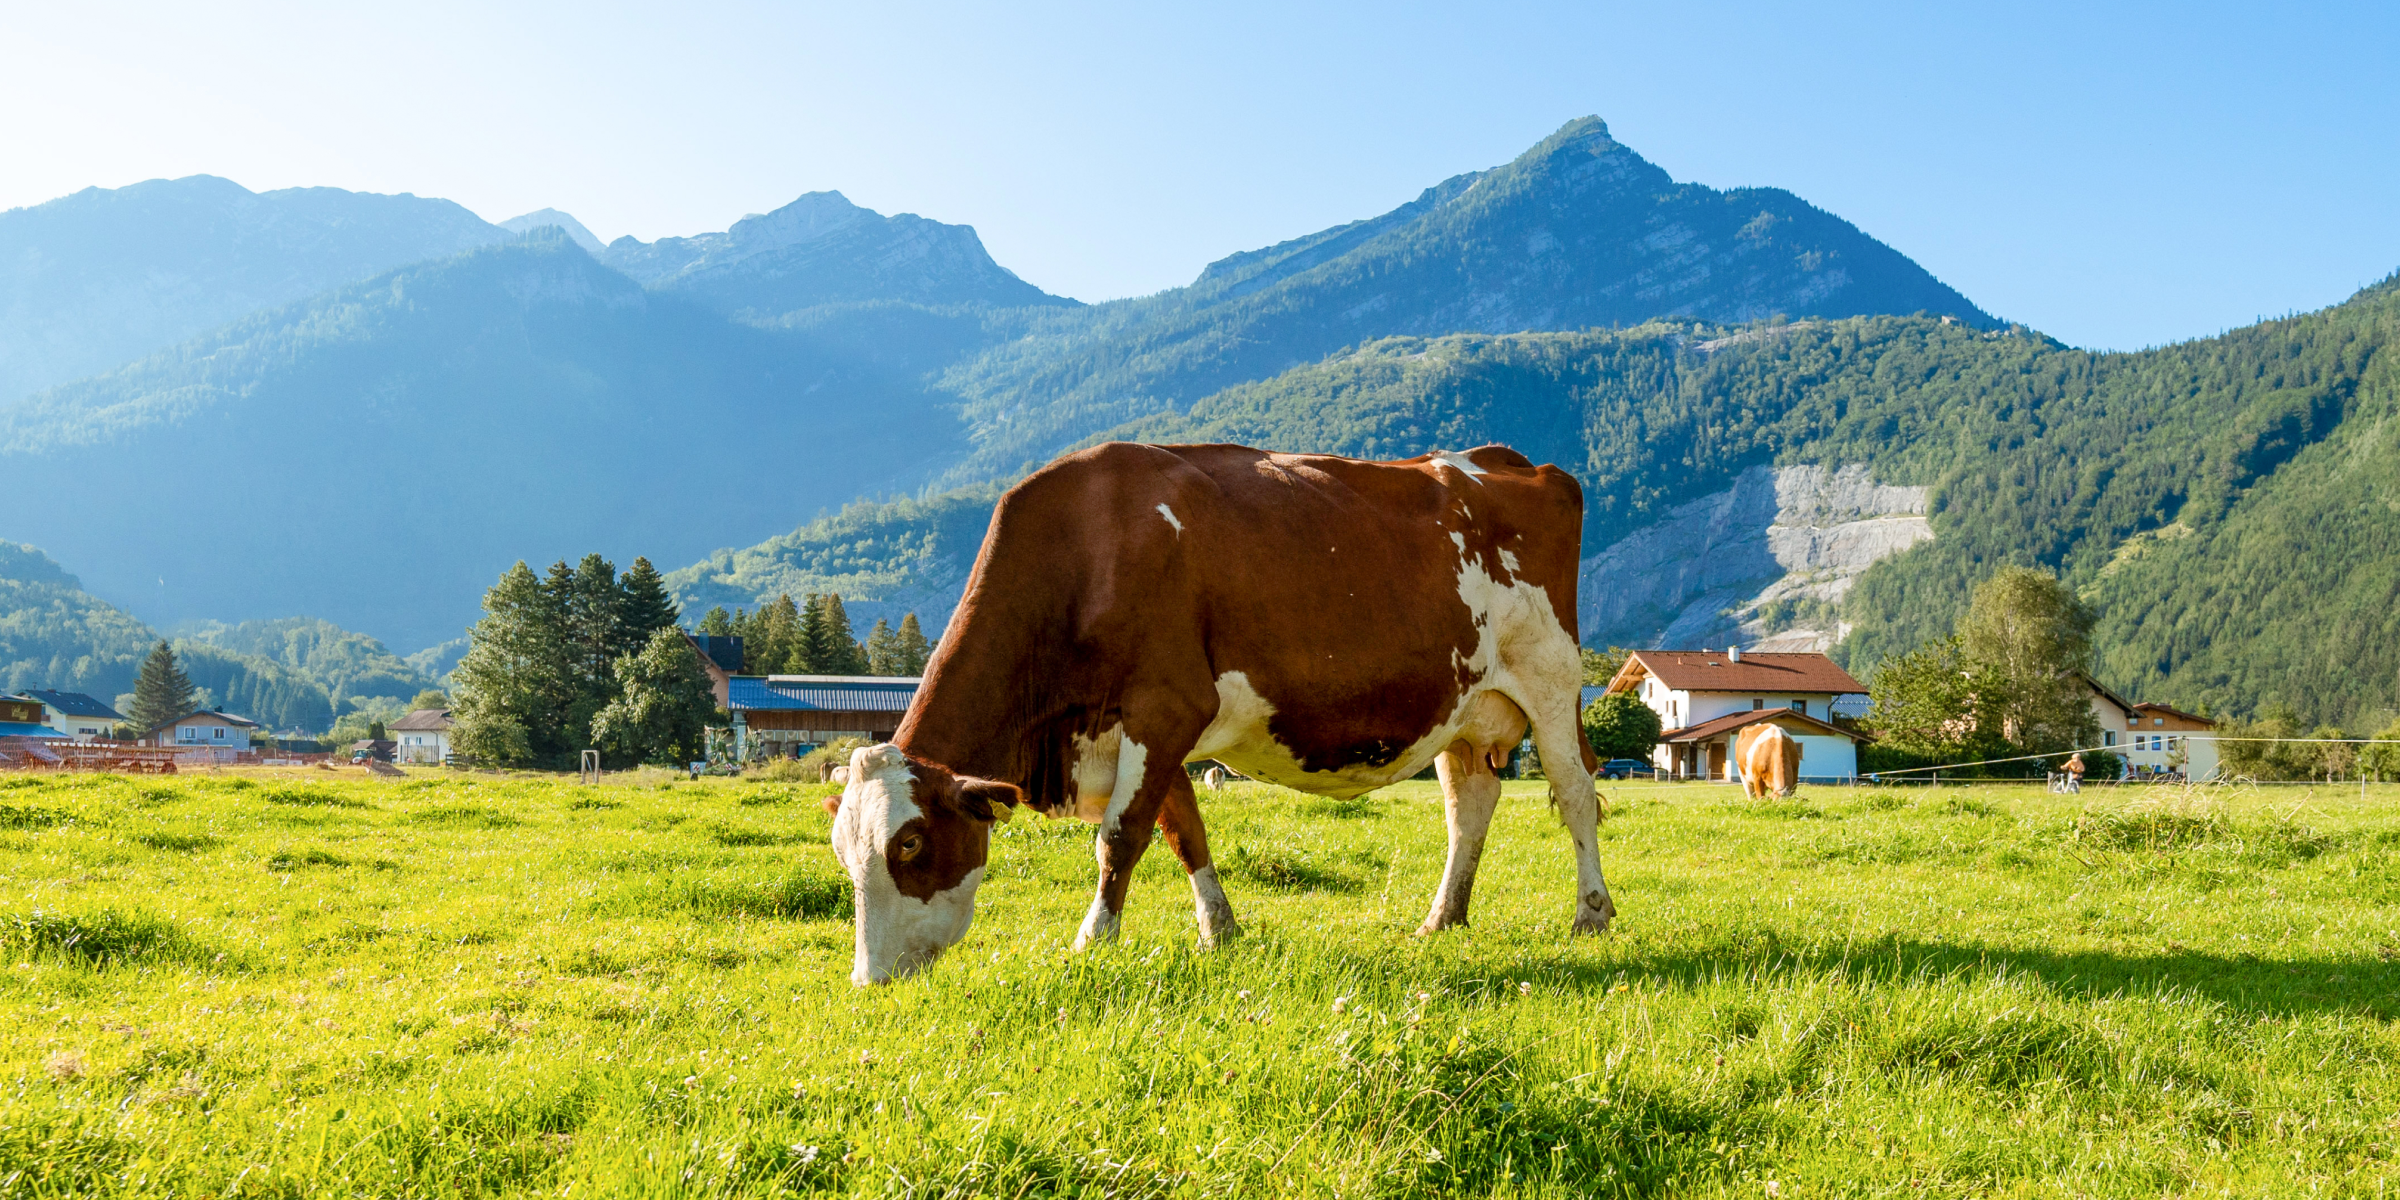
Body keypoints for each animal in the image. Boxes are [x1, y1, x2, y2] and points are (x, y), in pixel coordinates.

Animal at [826, 442, 1613, 985]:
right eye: (842, 851)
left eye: (911, 844)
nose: (868, 981)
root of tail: (1513, 461)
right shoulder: (1152, 728)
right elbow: (1184, 833)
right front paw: (1220, 932)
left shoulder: (1167, 705)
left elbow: (1120, 839)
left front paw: (1093, 940)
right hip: (1463, 707)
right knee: (1469, 806)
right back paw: (1442, 919)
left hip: (1550, 679)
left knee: (1576, 794)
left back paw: (1592, 913)